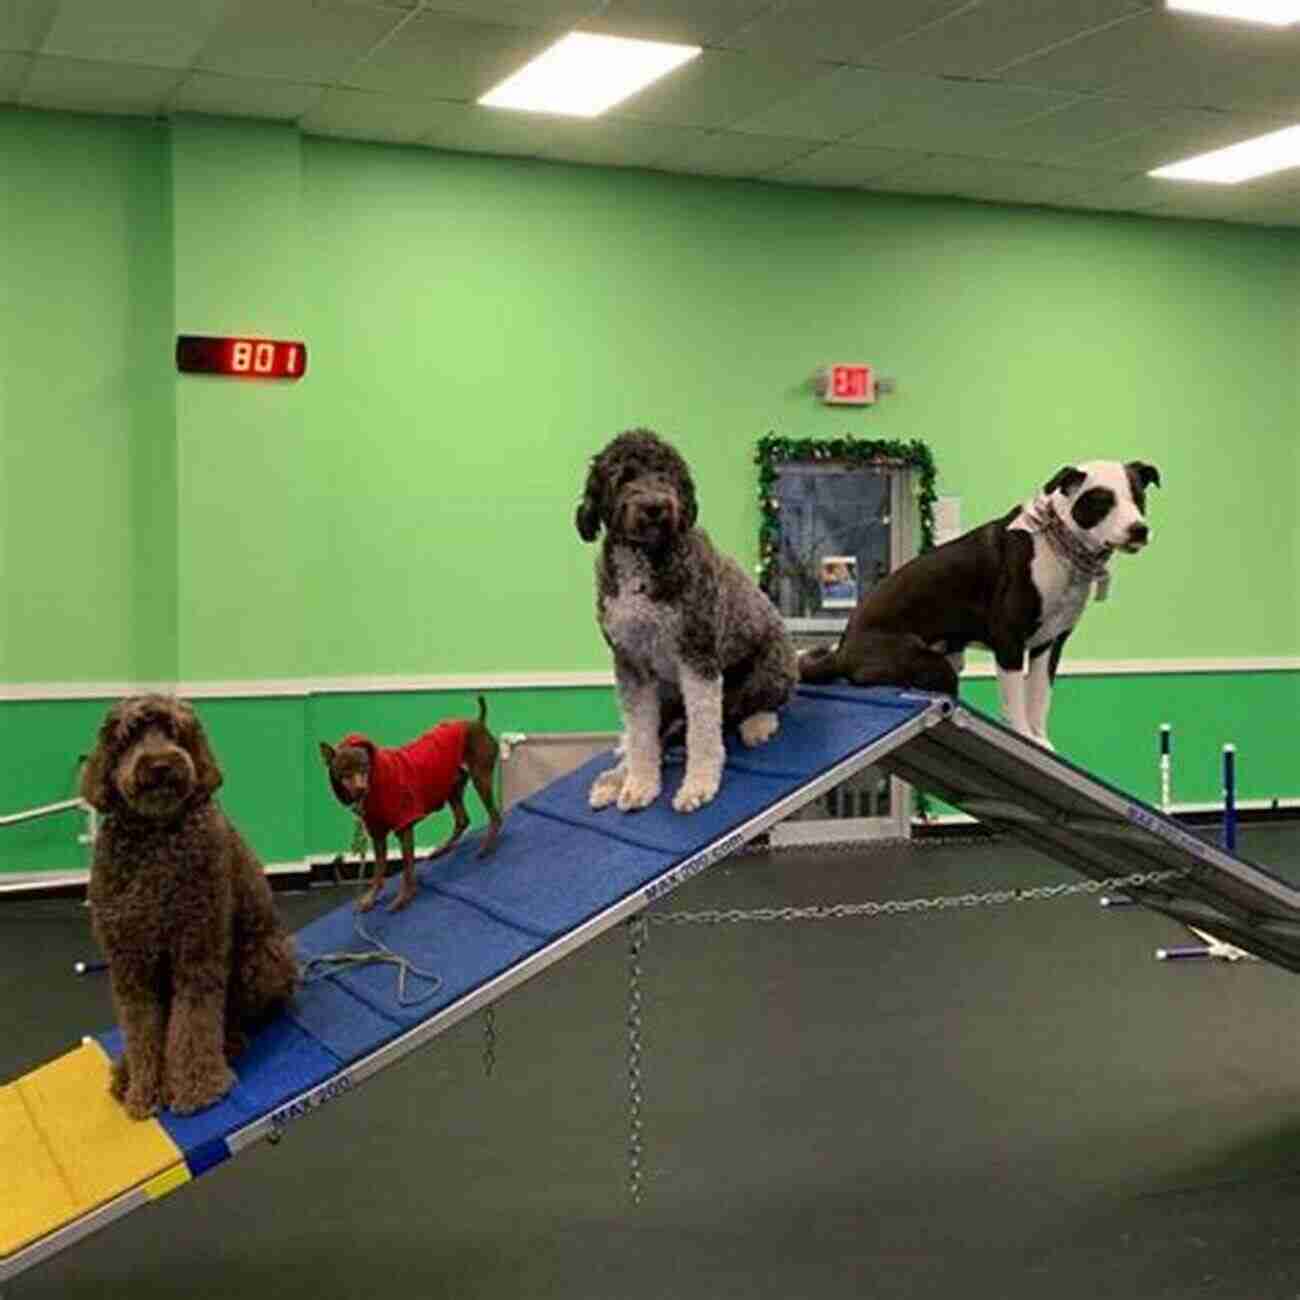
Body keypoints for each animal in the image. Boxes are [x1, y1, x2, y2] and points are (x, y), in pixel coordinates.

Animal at [82, 696, 300, 1123]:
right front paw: (144, 1091)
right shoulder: (129, 961)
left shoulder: (198, 945)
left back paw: (230, 1043)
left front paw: (196, 1086)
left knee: (238, 1012)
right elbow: (141, 1027)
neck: (154, 837)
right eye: (130, 736)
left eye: (175, 731)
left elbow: (194, 1022)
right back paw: (126, 1072)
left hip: (263, 959)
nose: (160, 765)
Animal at [322, 696, 504, 909]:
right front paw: (371, 898)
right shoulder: (377, 834)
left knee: (495, 816)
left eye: (365, 767)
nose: (360, 789)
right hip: (452, 784)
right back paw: (442, 849)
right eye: (344, 771)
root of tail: (478, 723)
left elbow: (407, 869)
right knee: (462, 820)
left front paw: (404, 897)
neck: (374, 786)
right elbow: (378, 871)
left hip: (480, 777)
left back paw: (487, 846)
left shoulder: (404, 827)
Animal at [795, 460, 1164, 748]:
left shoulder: (1050, 644)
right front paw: (1024, 736)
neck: (1058, 545)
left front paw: (1041, 741)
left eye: (1139, 498)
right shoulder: (1010, 638)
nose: (1139, 529)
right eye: (1103, 500)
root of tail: (843, 648)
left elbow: (1039, 697)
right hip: (931, 665)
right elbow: (1016, 701)